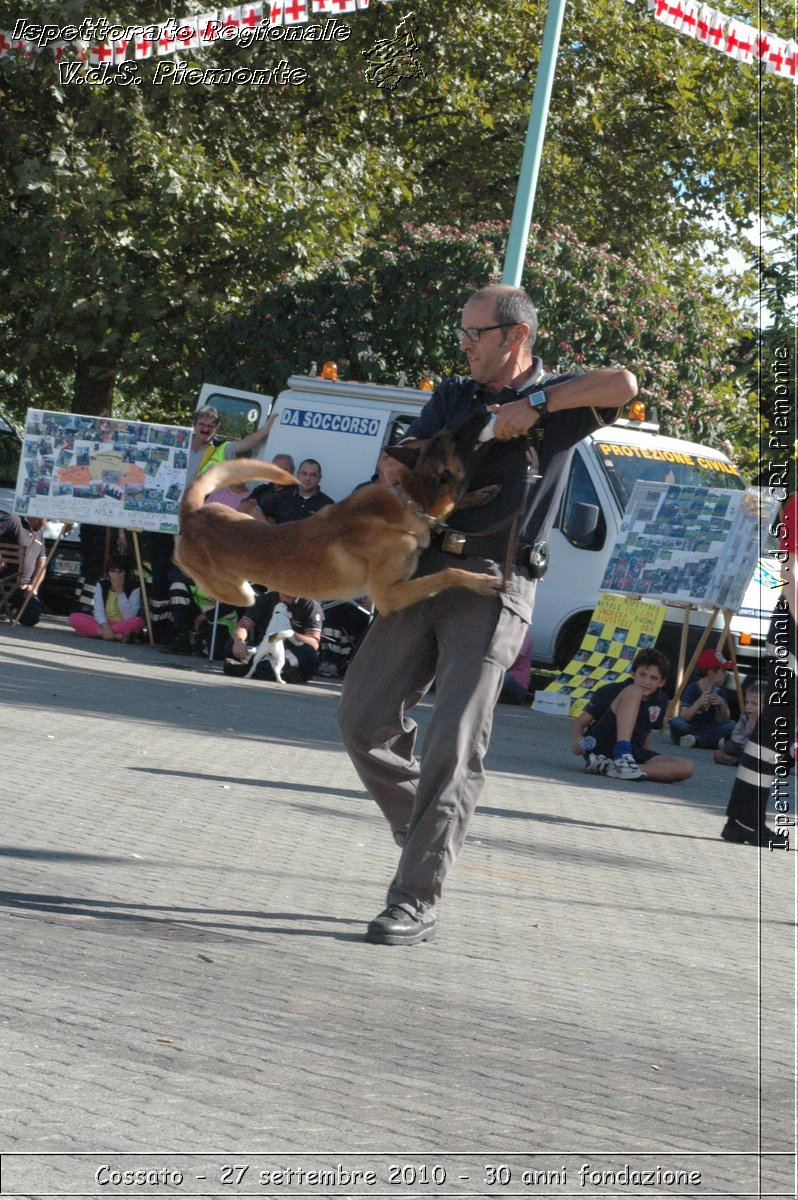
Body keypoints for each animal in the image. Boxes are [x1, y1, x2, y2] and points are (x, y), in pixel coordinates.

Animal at [174, 412, 499, 619]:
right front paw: (482, 581)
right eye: (457, 437)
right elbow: (449, 573)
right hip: (242, 593)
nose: (486, 408)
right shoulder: (388, 597)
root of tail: (192, 513)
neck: (409, 503)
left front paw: (482, 493)